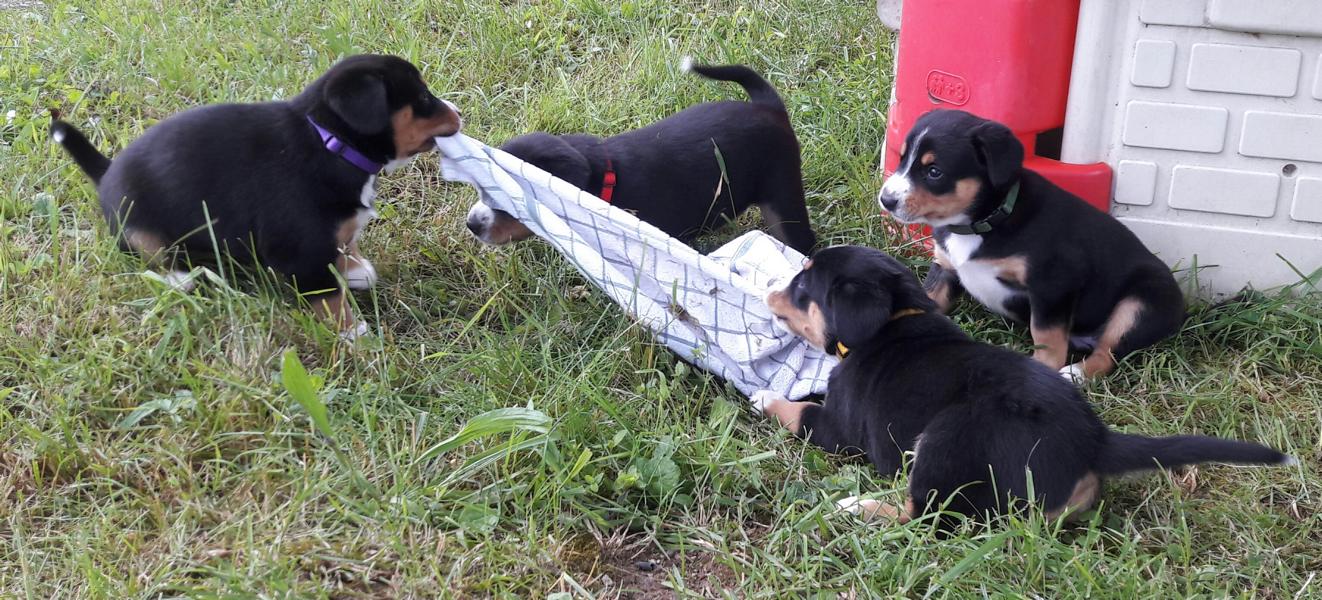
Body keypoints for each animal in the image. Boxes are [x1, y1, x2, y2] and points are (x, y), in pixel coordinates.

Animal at [51, 54, 462, 338]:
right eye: (423, 98)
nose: (459, 112)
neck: (330, 142)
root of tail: (105, 173)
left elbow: (346, 243)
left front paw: (358, 271)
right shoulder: (303, 253)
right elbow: (330, 299)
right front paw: (355, 337)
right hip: (139, 228)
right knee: (151, 256)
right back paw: (180, 278)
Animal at [753, 246, 1293, 527]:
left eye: (803, 287)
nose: (769, 290)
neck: (893, 321)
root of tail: (1093, 440)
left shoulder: (838, 428)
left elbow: (799, 412)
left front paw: (763, 397)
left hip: (946, 438)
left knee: (929, 515)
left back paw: (856, 507)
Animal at [877, 109, 1185, 381]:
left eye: (934, 172)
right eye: (902, 159)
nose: (886, 200)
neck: (983, 222)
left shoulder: (1053, 284)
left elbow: (1047, 337)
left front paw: (1043, 369)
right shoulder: (944, 268)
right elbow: (925, 301)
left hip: (1140, 303)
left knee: (1106, 353)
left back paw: (1076, 374)